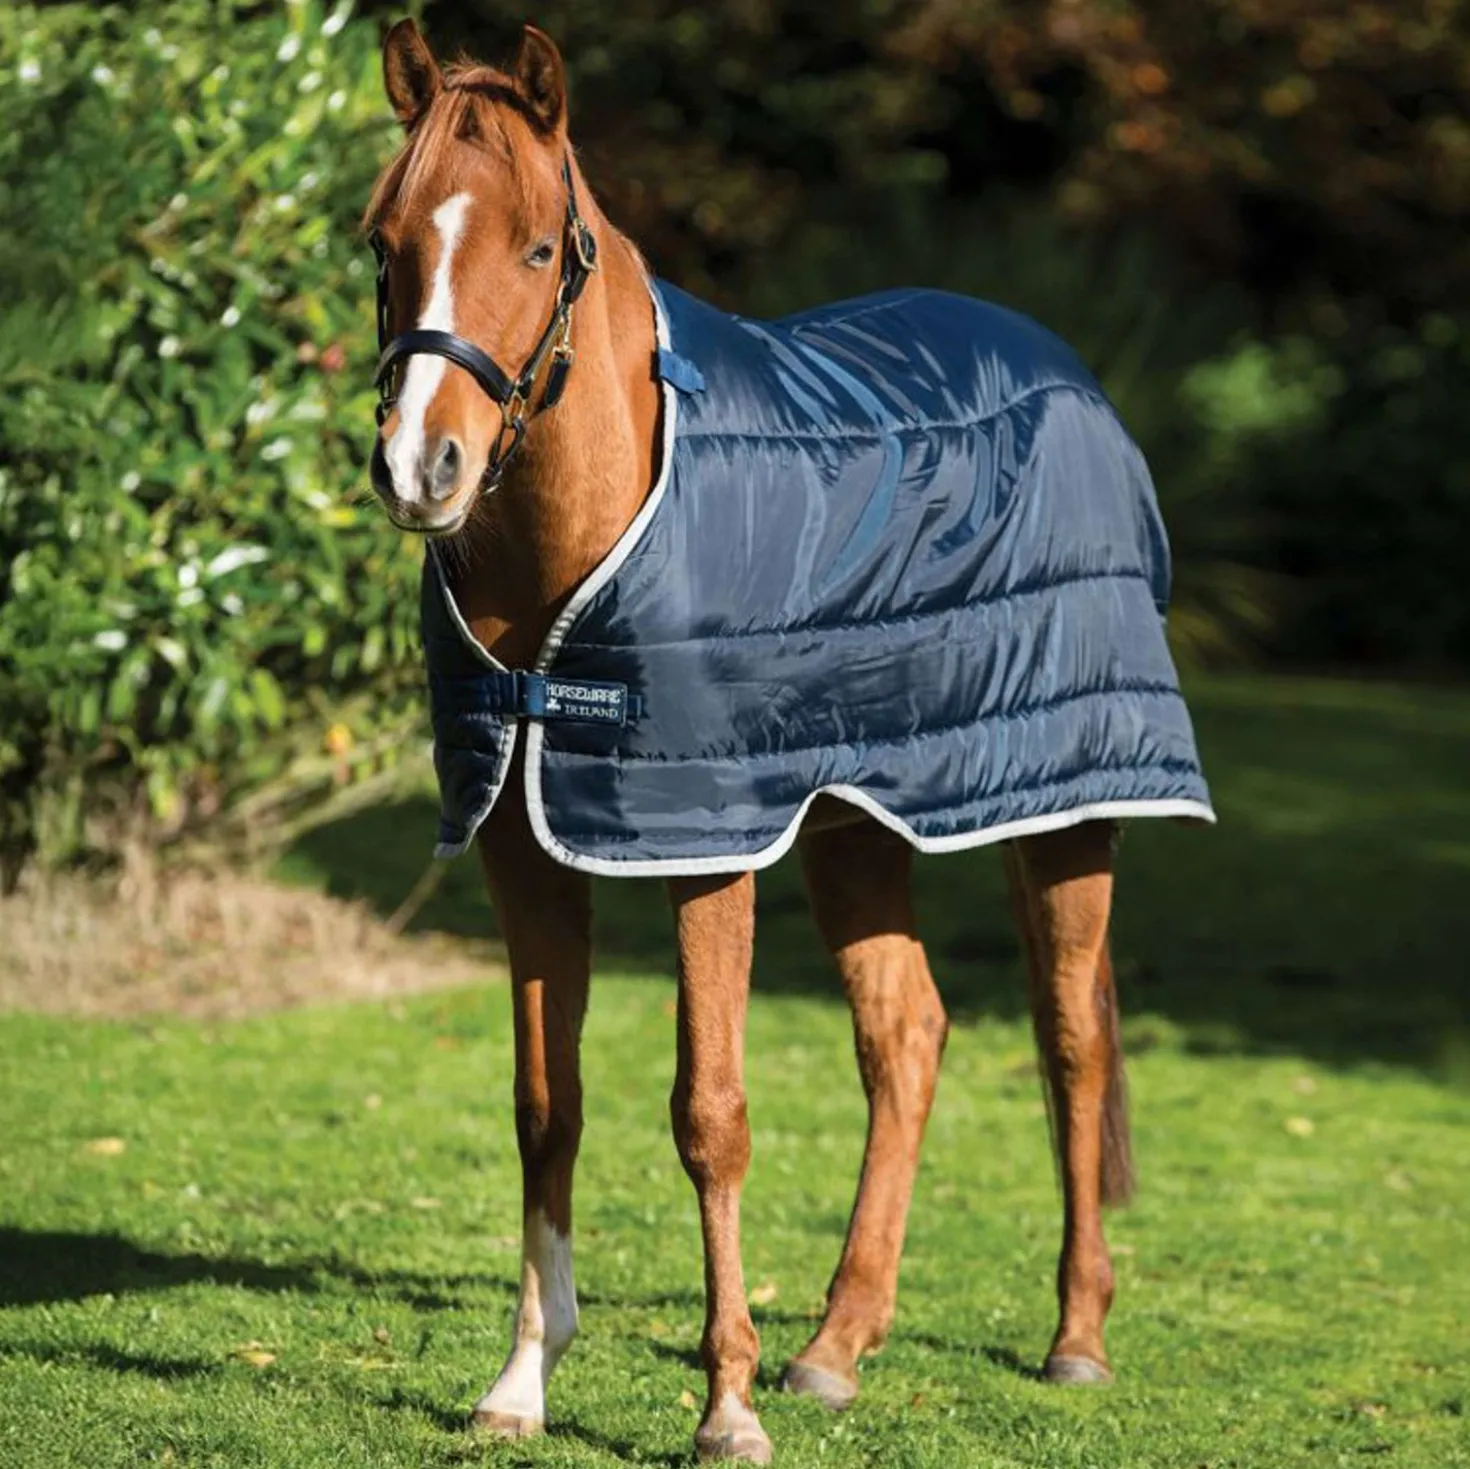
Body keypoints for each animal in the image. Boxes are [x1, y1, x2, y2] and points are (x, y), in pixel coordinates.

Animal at [362, 20, 1212, 1462]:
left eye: (535, 249)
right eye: (385, 242)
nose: (424, 466)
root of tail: (1064, 369)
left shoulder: (705, 847)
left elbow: (710, 1114)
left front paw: (724, 1406)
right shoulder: (524, 846)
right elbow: (546, 1107)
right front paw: (521, 1382)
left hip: (1064, 808)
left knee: (1069, 1043)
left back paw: (1075, 1338)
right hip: (854, 822)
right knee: (906, 1036)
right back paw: (835, 1346)